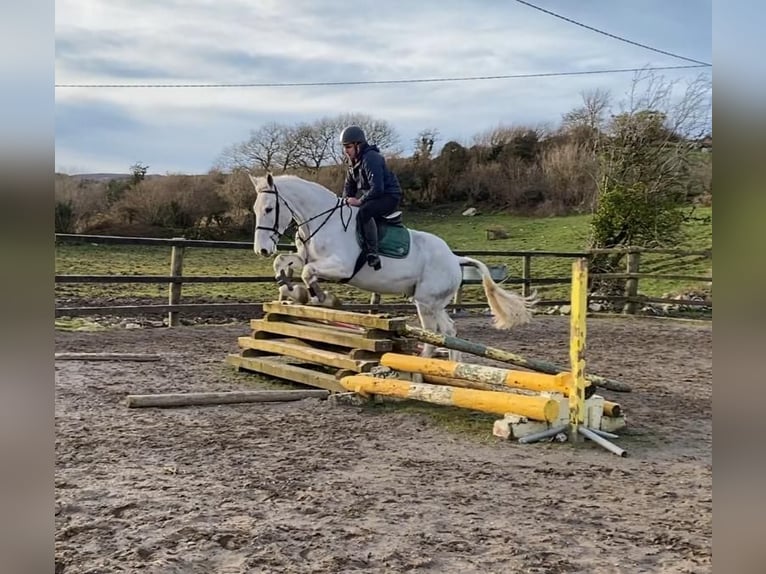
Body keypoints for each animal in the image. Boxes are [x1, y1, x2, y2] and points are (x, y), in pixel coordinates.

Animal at [249, 173, 536, 358]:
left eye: (269, 209)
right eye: (255, 209)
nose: (261, 250)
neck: (321, 221)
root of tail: (454, 259)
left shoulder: (341, 267)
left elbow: (309, 273)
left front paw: (321, 297)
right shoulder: (309, 258)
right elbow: (285, 262)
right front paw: (288, 287)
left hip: (426, 302)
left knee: (434, 334)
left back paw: (421, 372)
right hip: (431, 302)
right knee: (447, 331)